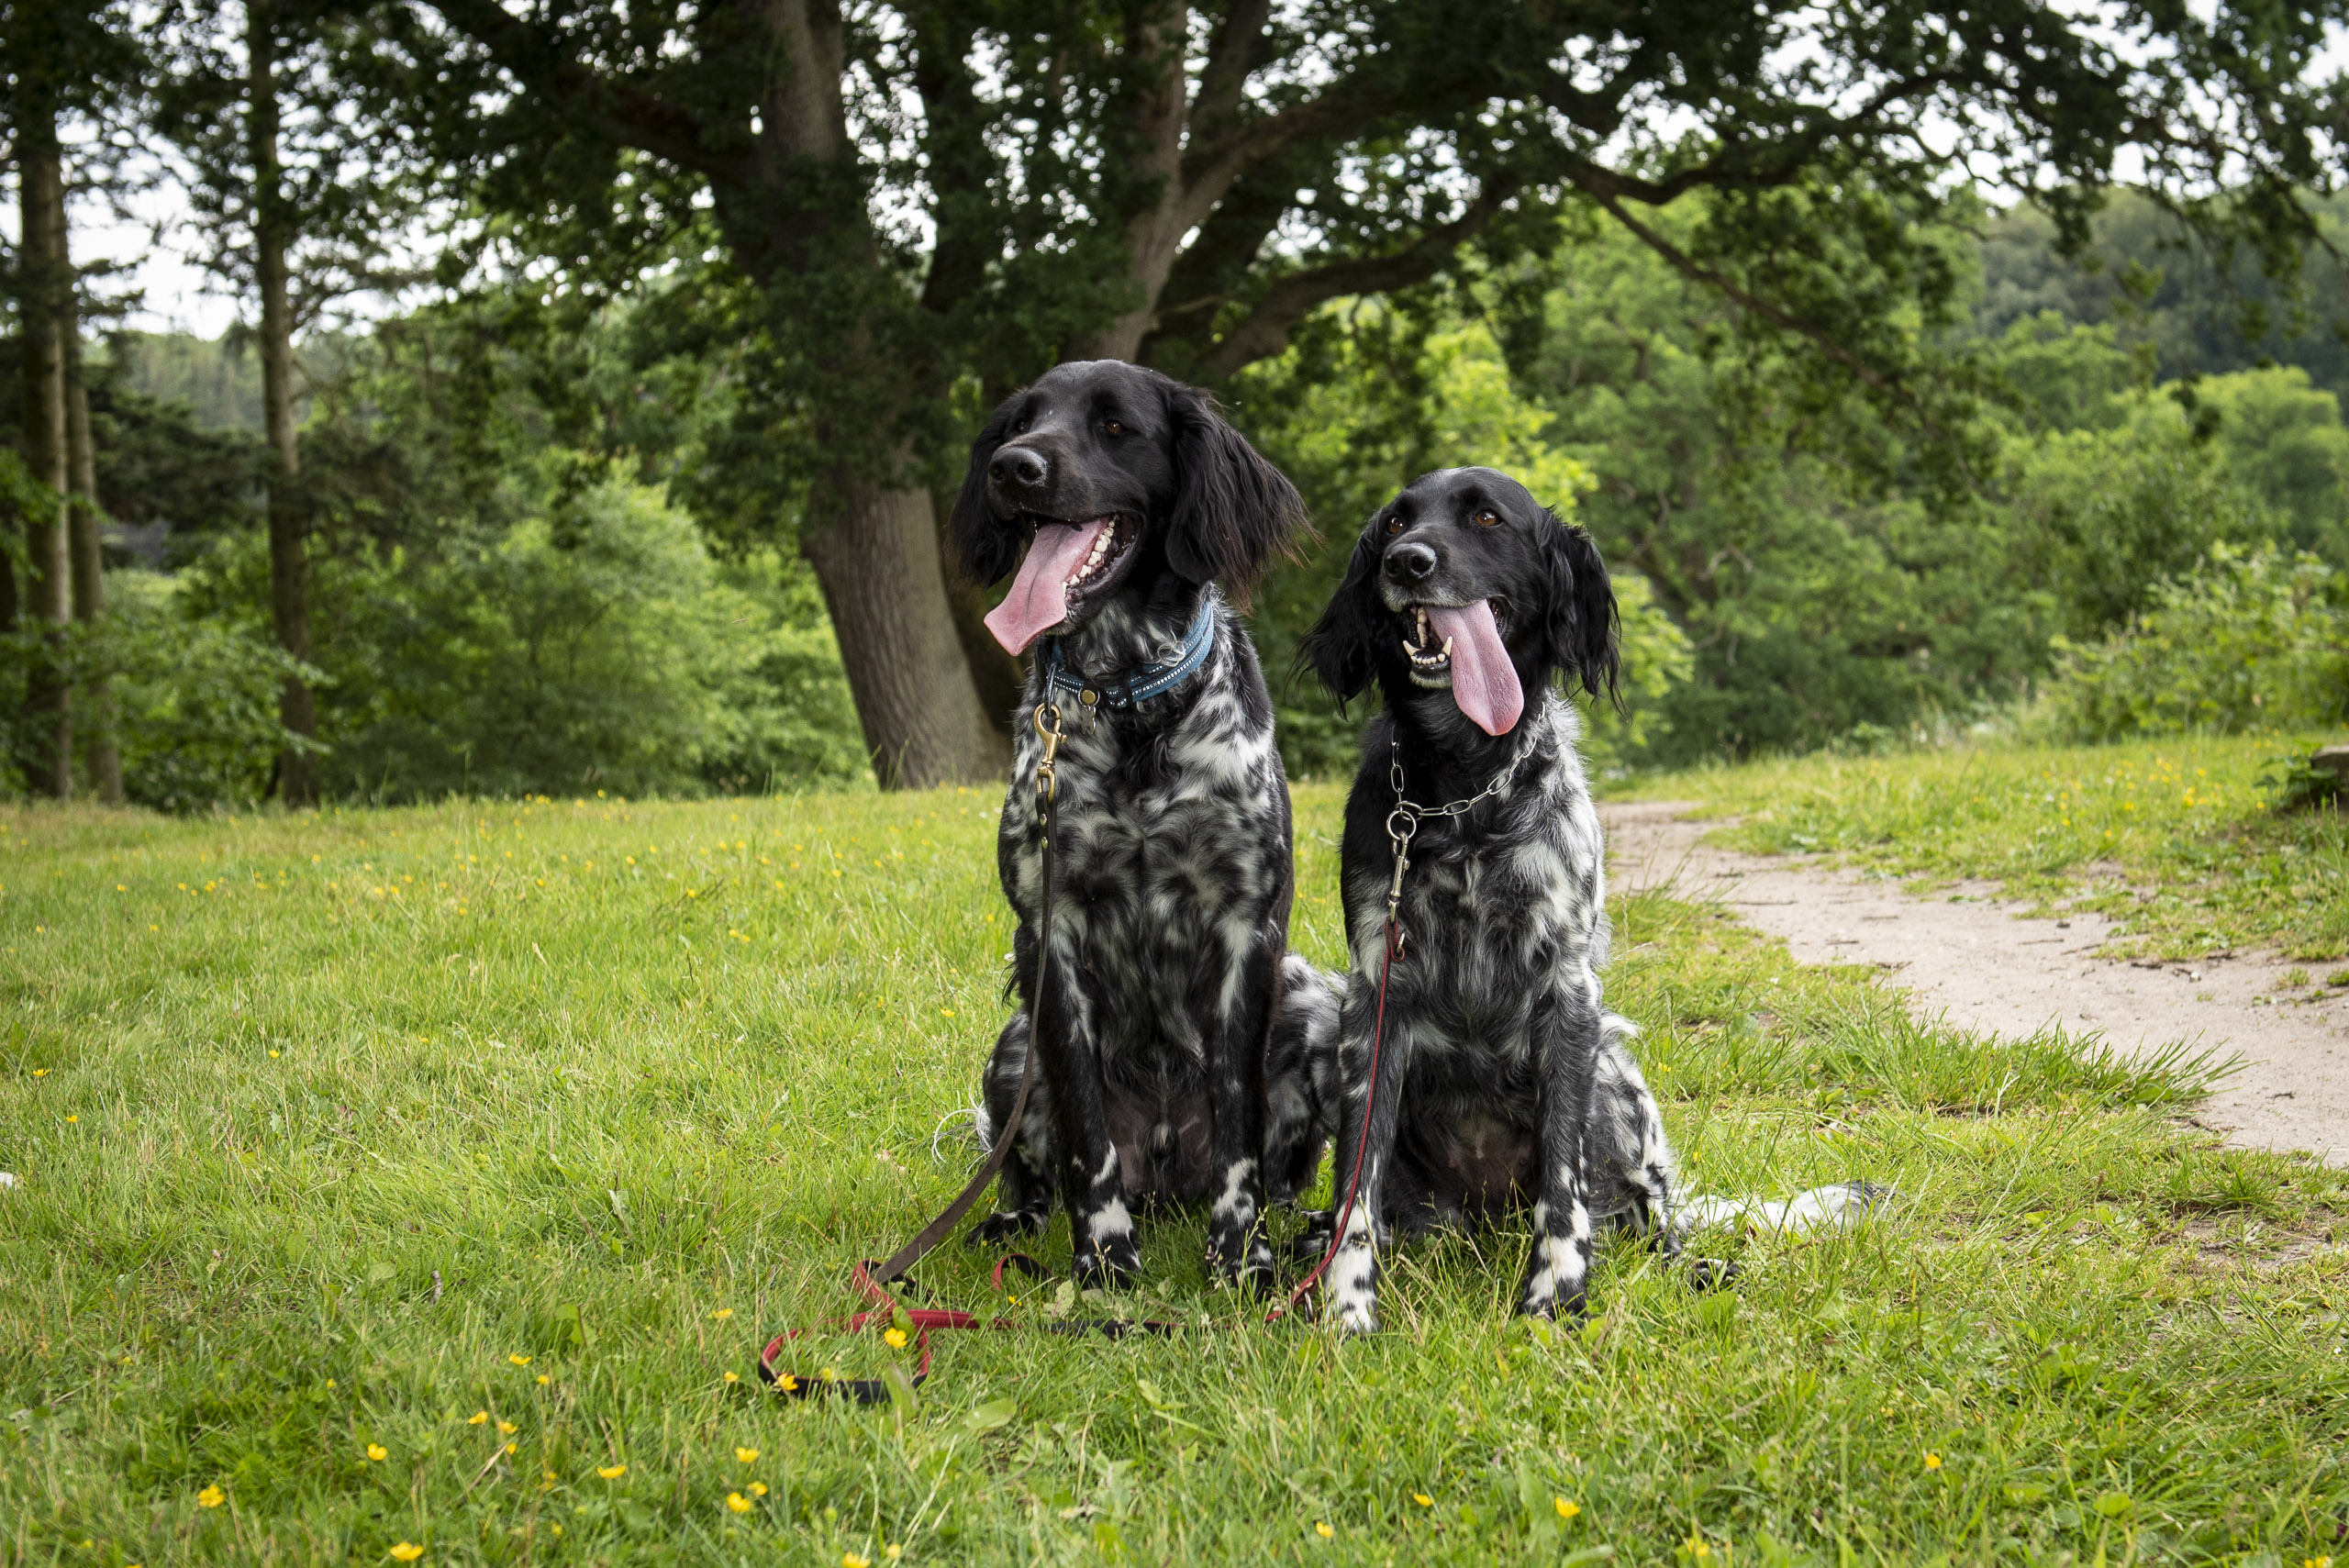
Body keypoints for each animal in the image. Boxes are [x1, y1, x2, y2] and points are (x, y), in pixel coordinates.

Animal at [953, 361, 1324, 1296]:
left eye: (1116, 425)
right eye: (1022, 420)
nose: (1012, 468)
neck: (1131, 706)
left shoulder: (1247, 931)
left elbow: (1240, 1130)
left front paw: (1241, 1256)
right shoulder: (1049, 935)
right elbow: (1087, 1139)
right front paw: (1103, 1261)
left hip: (1315, 998)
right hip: (1011, 1046)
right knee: (1029, 1173)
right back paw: (1011, 1224)